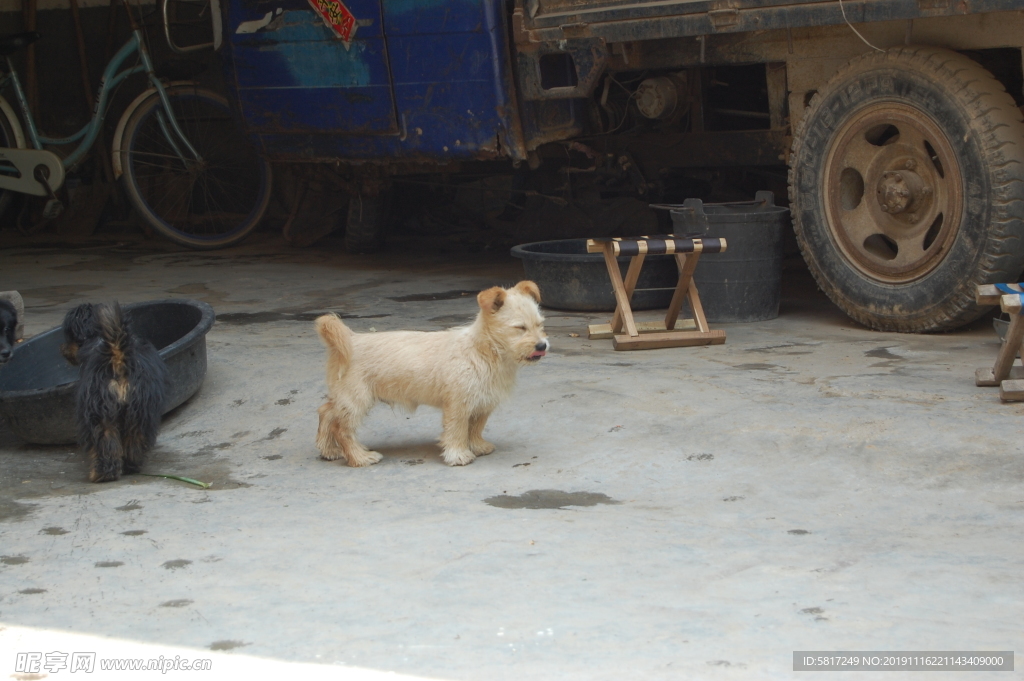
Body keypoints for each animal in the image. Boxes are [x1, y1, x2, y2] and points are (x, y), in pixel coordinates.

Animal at [62, 303, 167, 483]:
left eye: (69, 335)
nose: (63, 350)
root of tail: (117, 355)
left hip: (99, 410)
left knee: (105, 440)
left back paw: (102, 474)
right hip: (139, 410)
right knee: (134, 438)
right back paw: (131, 466)